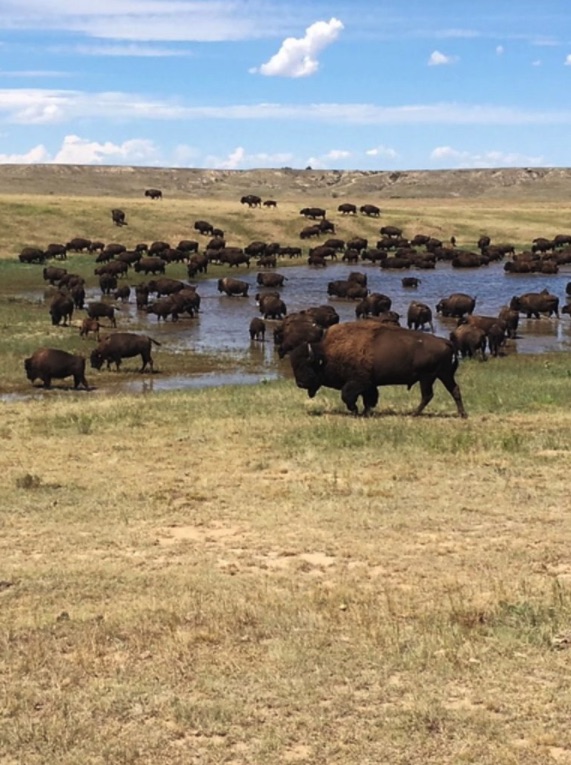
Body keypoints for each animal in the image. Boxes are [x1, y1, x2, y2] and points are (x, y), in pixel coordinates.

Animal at [290, 320, 470, 420]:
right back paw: (462, 414)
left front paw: (356, 412)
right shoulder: (369, 385)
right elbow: (369, 399)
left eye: (305, 365)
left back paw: (413, 414)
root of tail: (446, 342)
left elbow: (348, 396)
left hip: (427, 377)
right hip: (444, 375)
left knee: (428, 395)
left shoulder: (358, 382)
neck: (326, 354)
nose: (300, 383)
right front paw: (365, 412)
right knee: (454, 390)